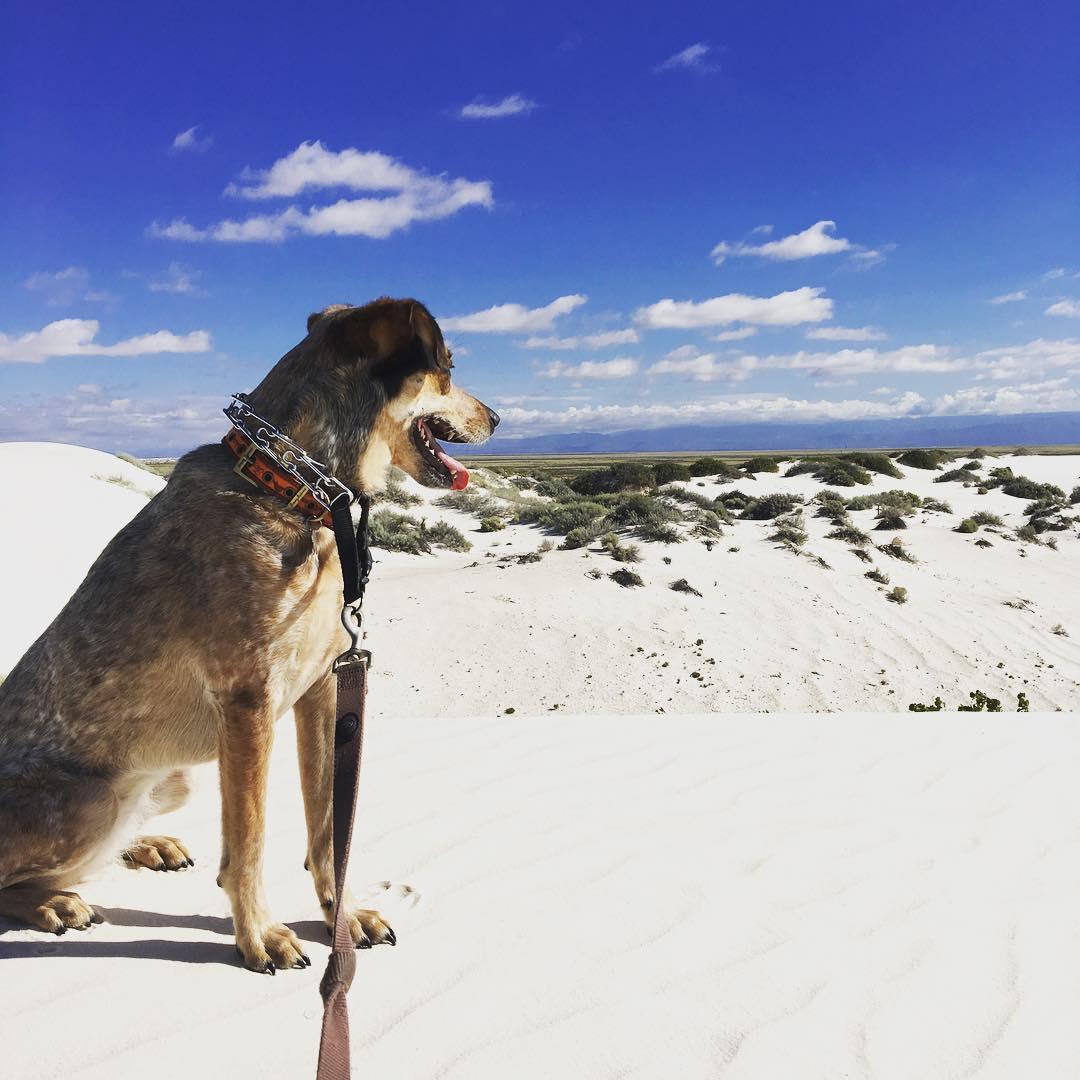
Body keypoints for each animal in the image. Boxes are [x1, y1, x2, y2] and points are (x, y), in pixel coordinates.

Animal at [0, 300, 496, 976]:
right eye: (447, 368)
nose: (497, 419)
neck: (290, 485)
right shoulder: (248, 702)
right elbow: (250, 844)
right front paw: (260, 934)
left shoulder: (324, 689)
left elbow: (328, 829)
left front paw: (342, 916)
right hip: (90, 800)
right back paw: (55, 903)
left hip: (171, 779)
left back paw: (148, 844)